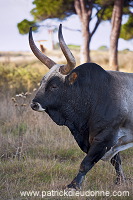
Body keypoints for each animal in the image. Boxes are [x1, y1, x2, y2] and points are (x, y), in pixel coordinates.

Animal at [29, 24, 133, 190]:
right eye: (41, 82)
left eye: (54, 86)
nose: (34, 104)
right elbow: (117, 161)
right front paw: (120, 181)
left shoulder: (104, 138)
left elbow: (86, 163)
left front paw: (74, 185)